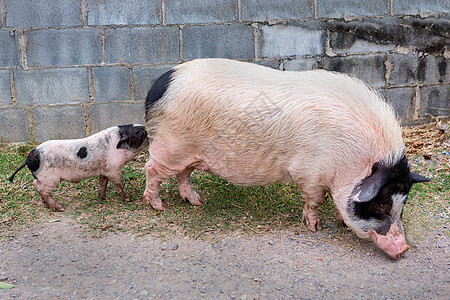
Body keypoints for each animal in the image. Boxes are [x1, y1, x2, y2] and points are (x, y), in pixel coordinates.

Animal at [7, 124, 148, 211]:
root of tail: (29, 158)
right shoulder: (114, 169)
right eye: (137, 132)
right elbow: (118, 184)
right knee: (41, 188)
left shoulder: (104, 169)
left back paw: (45, 203)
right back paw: (60, 208)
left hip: (44, 178)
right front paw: (129, 199)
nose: (147, 129)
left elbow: (103, 181)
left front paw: (103, 197)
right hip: (50, 178)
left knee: (35, 184)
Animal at [143, 59, 428, 260]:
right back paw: (158, 206)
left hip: (188, 152)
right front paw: (315, 228)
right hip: (170, 146)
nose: (403, 249)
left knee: (183, 174)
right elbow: (315, 200)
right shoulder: (309, 172)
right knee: (152, 169)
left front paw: (340, 222)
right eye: (380, 205)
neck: (350, 160)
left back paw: (196, 202)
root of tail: (161, 84)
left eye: (401, 205)